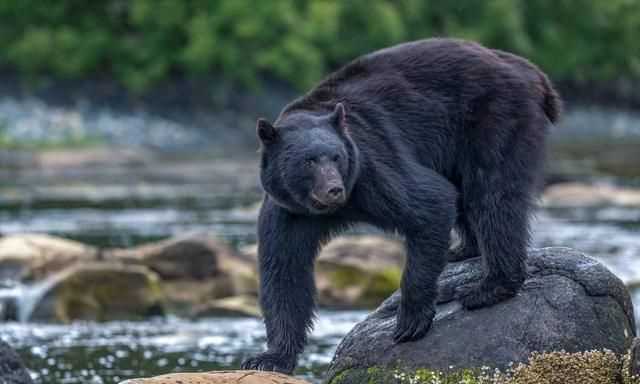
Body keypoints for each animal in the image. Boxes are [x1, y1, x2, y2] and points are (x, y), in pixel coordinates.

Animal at [240, 37, 560, 374]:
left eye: (336, 157)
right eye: (308, 161)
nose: (334, 190)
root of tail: (530, 70)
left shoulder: (372, 167)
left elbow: (430, 202)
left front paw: (410, 320)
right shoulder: (288, 209)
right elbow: (284, 271)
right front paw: (269, 357)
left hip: (494, 116)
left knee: (492, 192)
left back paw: (488, 287)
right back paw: (463, 250)